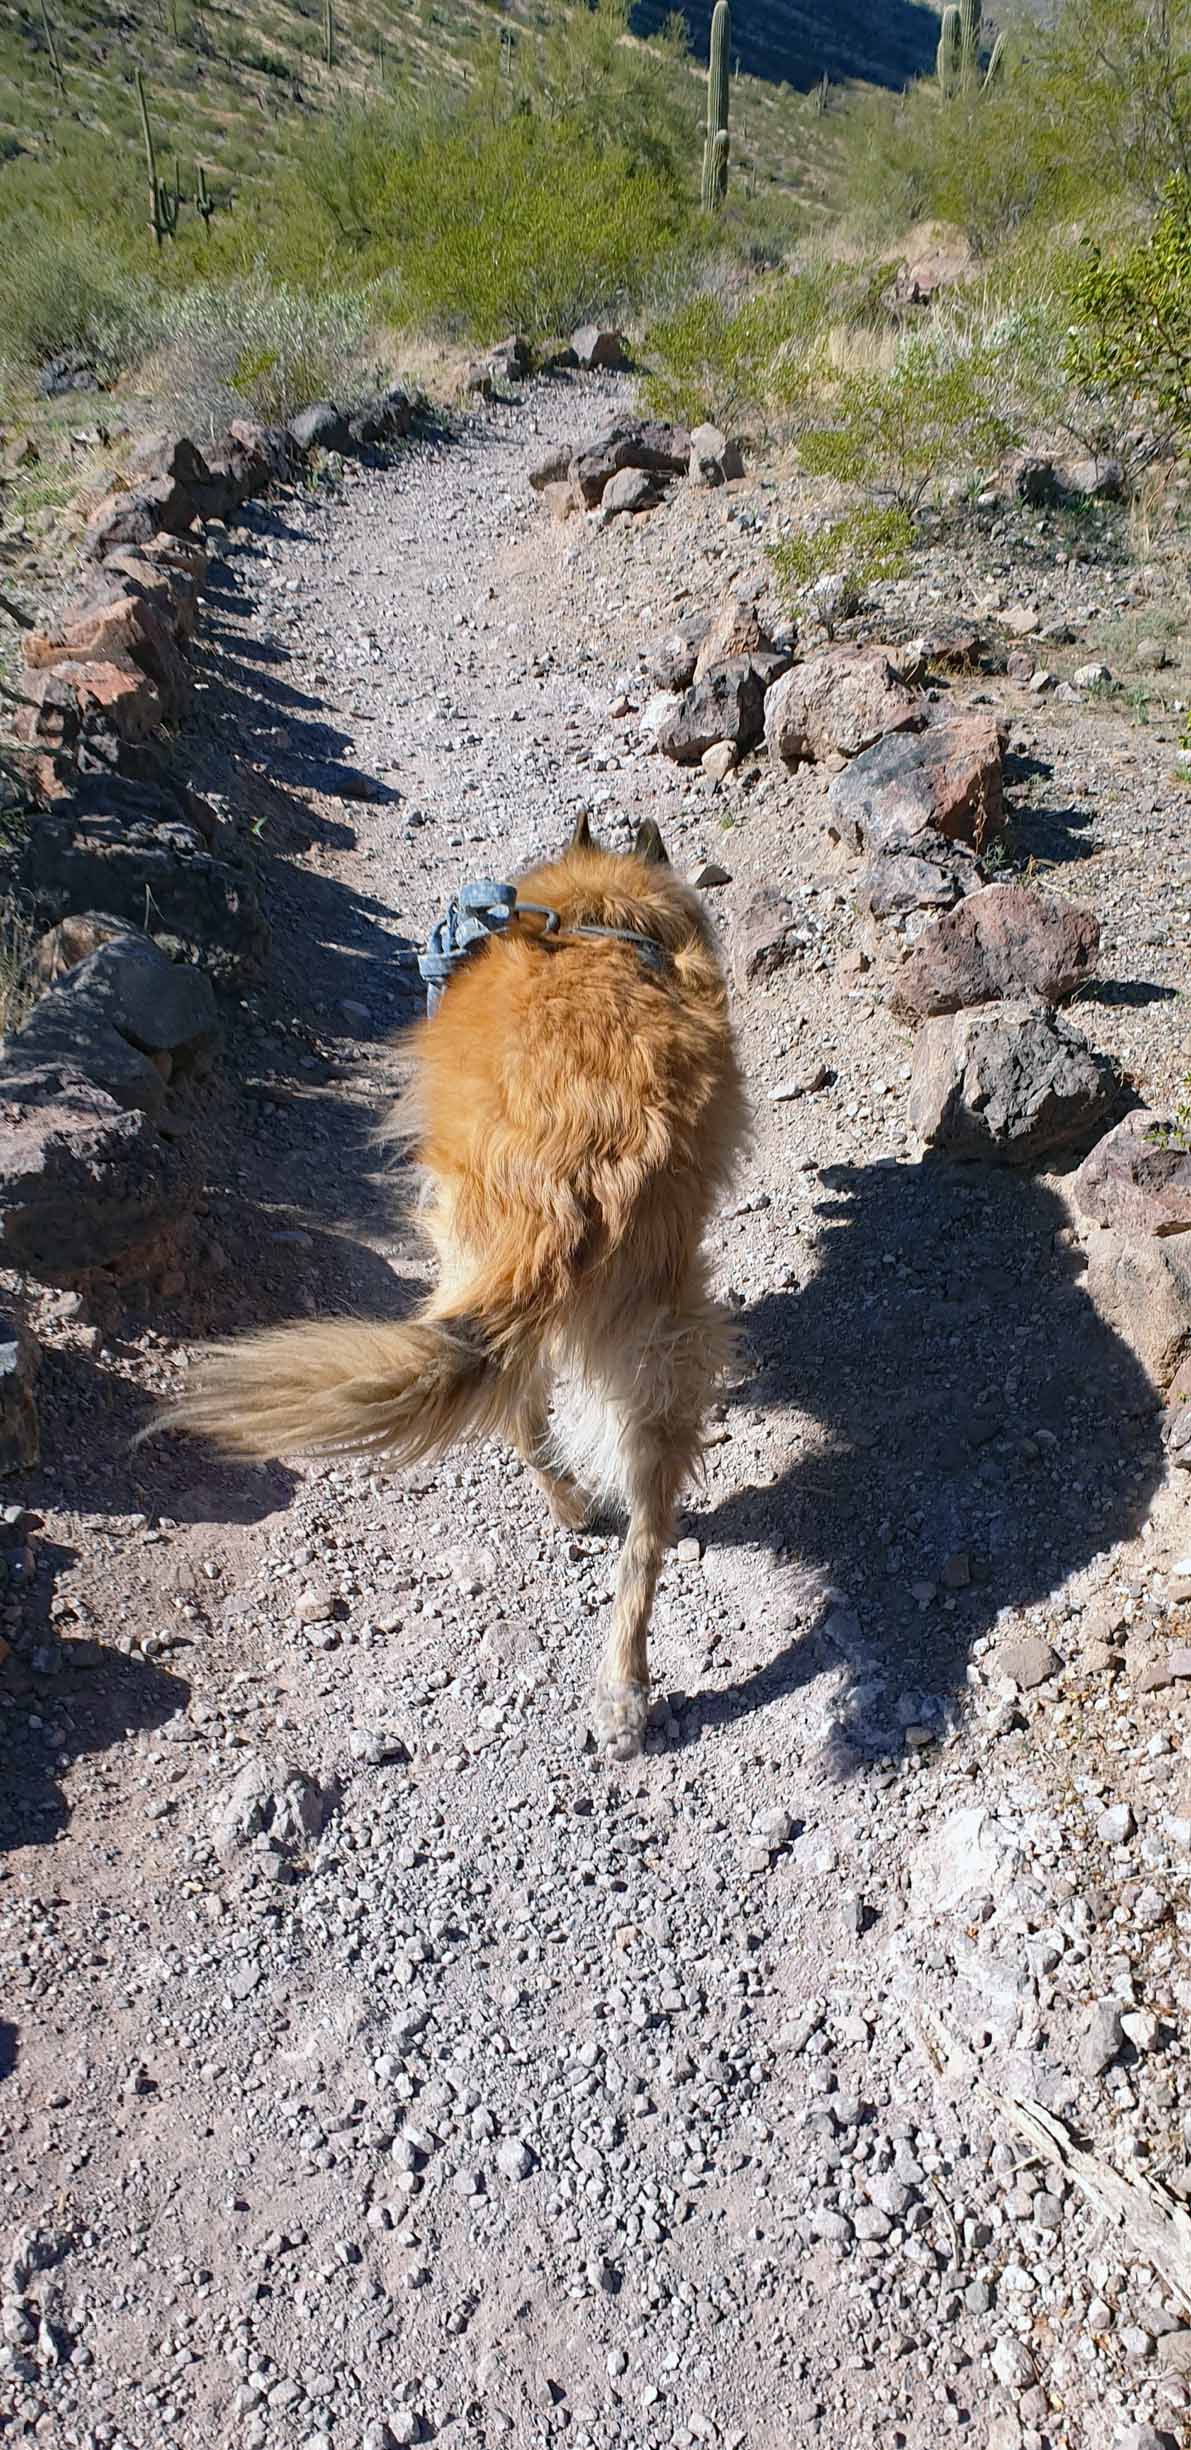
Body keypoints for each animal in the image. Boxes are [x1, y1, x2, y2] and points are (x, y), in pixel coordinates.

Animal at [166, 813, 748, 1758]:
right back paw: (620, 1673)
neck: (598, 922)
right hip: (648, 1335)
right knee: (627, 1516)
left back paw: (583, 1549)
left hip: (491, 1268)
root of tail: (569, 1170)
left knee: (533, 1426)